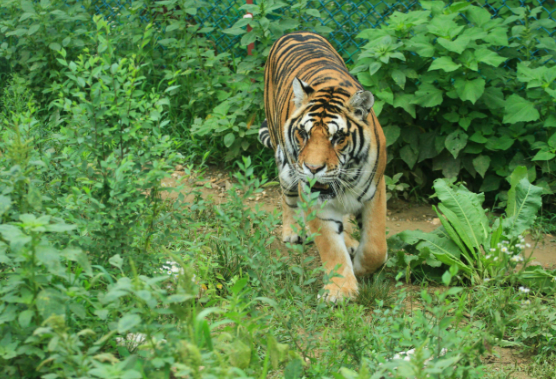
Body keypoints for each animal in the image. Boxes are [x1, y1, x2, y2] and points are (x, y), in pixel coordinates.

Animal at [260, 31, 386, 302]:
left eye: (337, 138)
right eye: (303, 134)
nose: (313, 168)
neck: (346, 178)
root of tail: (296, 32)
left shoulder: (375, 189)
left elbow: (376, 246)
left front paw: (360, 267)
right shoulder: (313, 197)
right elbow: (330, 246)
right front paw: (340, 291)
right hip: (285, 166)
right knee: (287, 197)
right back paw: (292, 231)